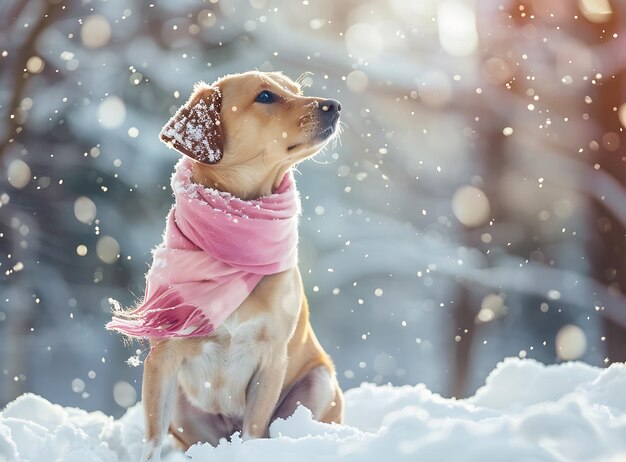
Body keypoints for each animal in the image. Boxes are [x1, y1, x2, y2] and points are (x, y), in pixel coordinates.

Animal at [106, 70, 342, 460]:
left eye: (296, 90)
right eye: (266, 96)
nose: (334, 105)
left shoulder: (271, 357)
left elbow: (253, 430)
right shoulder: (163, 356)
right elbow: (152, 438)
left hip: (319, 381)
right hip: (184, 407)